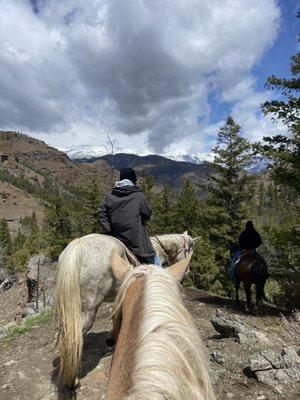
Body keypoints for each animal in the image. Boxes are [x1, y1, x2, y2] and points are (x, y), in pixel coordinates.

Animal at [54, 231, 199, 388]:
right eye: (190, 248)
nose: (187, 271)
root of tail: (79, 245)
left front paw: (113, 337)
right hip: (88, 309)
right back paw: (73, 379)